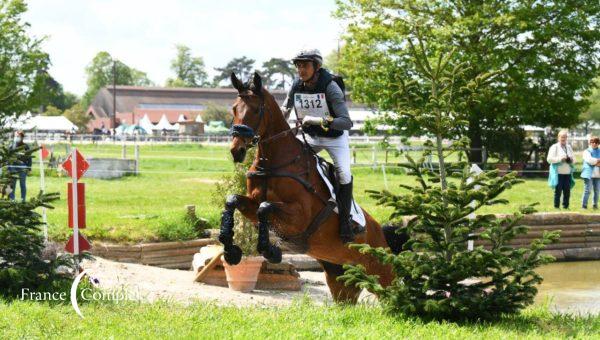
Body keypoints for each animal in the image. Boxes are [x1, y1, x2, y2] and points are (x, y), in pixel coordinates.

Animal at [218, 71, 406, 302]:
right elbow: (233, 200)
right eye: (234, 108)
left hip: (382, 275)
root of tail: (382, 234)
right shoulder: (252, 204)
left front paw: (271, 251)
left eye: (256, 110)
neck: (273, 163)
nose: (237, 151)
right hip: (340, 278)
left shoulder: (299, 217)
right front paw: (231, 251)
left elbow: (266, 207)